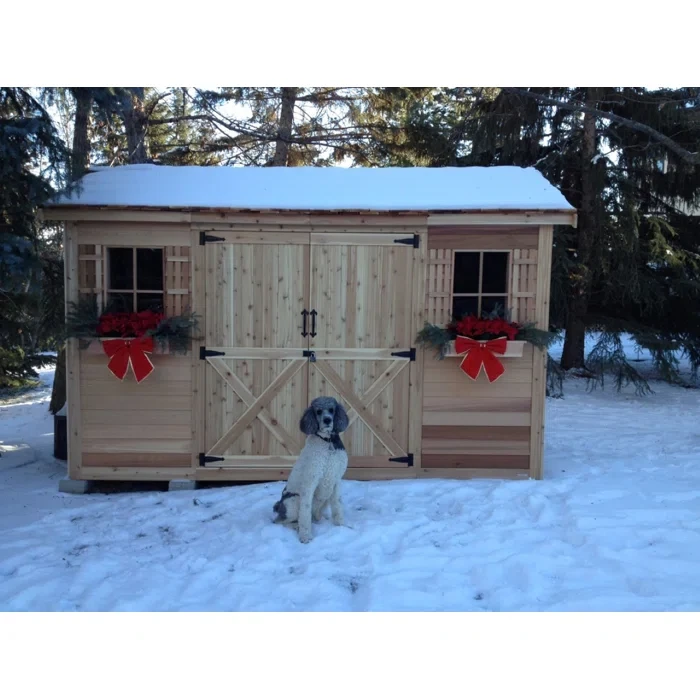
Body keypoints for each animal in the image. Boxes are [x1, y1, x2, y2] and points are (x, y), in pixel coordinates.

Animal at [272, 396, 350, 544]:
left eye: (332, 410)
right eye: (318, 411)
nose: (327, 420)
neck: (327, 441)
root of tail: (279, 506)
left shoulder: (336, 480)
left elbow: (337, 506)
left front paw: (342, 526)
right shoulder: (310, 481)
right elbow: (305, 513)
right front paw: (305, 536)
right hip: (293, 501)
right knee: (280, 522)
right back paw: (296, 526)